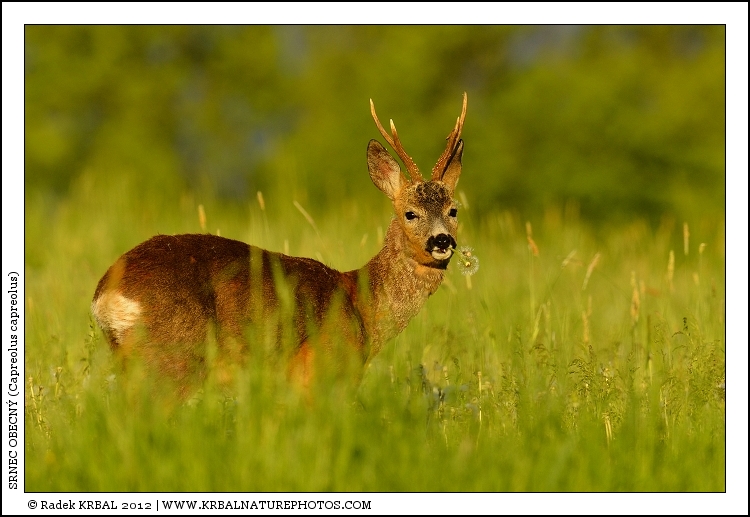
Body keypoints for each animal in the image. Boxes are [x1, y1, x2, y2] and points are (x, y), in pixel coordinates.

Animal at [91, 93, 467, 394]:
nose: (442, 240)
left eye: (453, 209)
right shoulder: (320, 371)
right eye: (409, 213)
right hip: (172, 356)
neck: (363, 306)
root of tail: (106, 294)